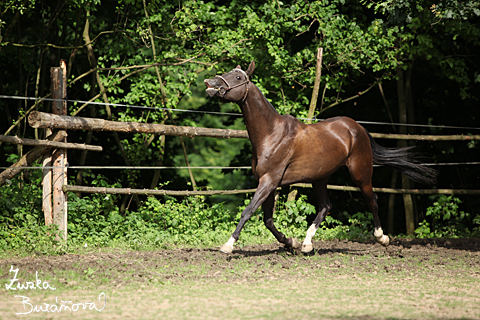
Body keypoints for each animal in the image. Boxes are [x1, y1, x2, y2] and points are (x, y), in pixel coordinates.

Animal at [202, 61, 436, 254]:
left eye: (238, 77)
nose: (210, 82)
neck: (270, 134)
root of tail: (357, 127)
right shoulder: (268, 182)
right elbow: (268, 220)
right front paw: (292, 242)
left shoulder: (269, 181)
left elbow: (248, 211)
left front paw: (228, 245)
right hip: (320, 178)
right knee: (326, 207)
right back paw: (307, 244)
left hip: (360, 173)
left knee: (372, 201)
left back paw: (382, 238)